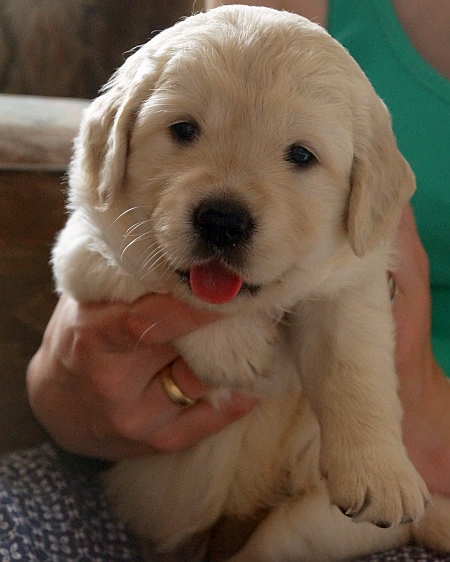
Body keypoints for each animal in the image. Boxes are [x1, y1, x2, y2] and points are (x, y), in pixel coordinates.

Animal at [52, 5, 450, 561]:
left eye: (301, 155)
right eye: (183, 129)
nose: (222, 220)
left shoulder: (354, 280)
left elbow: (355, 366)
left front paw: (380, 472)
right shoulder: (83, 244)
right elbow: (149, 282)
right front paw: (232, 346)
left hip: (313, 522)